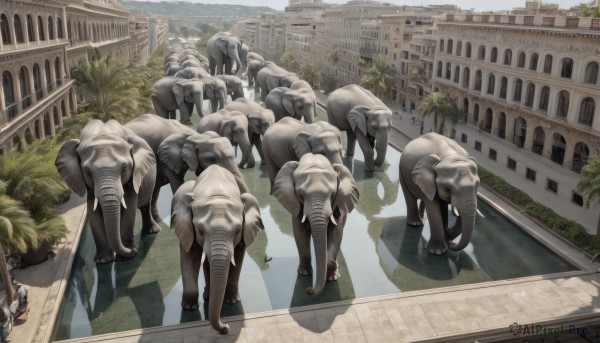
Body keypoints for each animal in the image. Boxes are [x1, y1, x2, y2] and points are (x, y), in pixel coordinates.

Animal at [55, 119, 158, 264]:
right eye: (87, 172)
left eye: (124, 168)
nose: (134, 250)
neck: (102, 134)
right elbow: (93, 212)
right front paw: (103, 261)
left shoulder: (132, 177)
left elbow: (129, 207)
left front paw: (126, 257)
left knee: (145, 205)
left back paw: (152, 231)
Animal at [169, 165, 262, 334]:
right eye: (200, 230)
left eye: (237, 231)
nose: (226, 326)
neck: (216, 191)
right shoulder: (186, 228)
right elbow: (190, 255)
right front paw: (189, 308)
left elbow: (237, 258)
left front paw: (232, 301)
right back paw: (206, 296)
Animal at [274, 155, 358, 296]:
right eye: (300, 195)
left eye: (332, 195)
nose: (309, 290)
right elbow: (300, 232)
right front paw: (304, 274)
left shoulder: (338, 206)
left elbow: (336, 233)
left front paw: (332, 278)